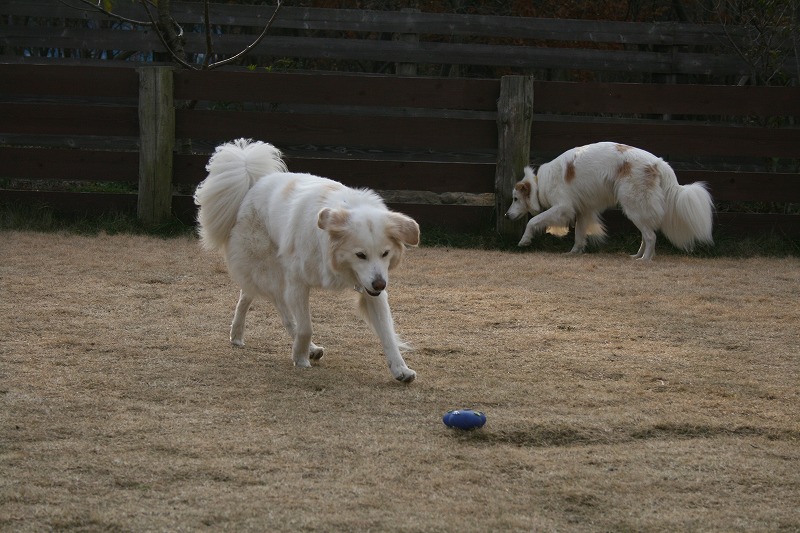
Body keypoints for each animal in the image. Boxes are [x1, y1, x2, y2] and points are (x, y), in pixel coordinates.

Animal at [195, 140, 422, 382]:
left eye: (385, 253)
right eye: (360, 255)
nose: (380, 284)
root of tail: (253, 184)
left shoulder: (371, 289)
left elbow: (387, 333)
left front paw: (400, 368)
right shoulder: (297, 284)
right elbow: (305, 327)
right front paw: (300, 358)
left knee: (248, 294)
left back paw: (238, 334)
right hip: (271, 272)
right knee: (279, 308)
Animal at [504, 140, 716, 258]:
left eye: (515, 199)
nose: (506, 216)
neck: (541, 184)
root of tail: (659, 163)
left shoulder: (563, 207)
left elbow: (533, 220)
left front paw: (524, 240)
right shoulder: (582, 211)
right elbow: (579, 235)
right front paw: (574, 252)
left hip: (633, 205)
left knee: (651, 236)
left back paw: (645, 260)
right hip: (637, 211)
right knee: (646, 236)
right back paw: (636, 255)